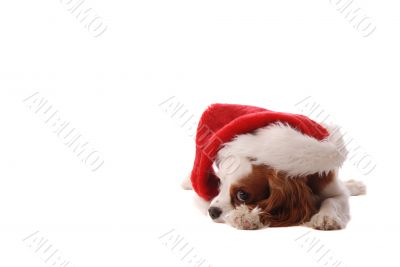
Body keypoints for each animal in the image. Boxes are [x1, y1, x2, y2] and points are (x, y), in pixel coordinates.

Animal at [184, 104, 366, 230]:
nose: (212, 211)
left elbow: (332, 201)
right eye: (220, 183)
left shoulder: (335, 191)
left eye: (242, 195)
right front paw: (246, 216)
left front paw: (325, 217)